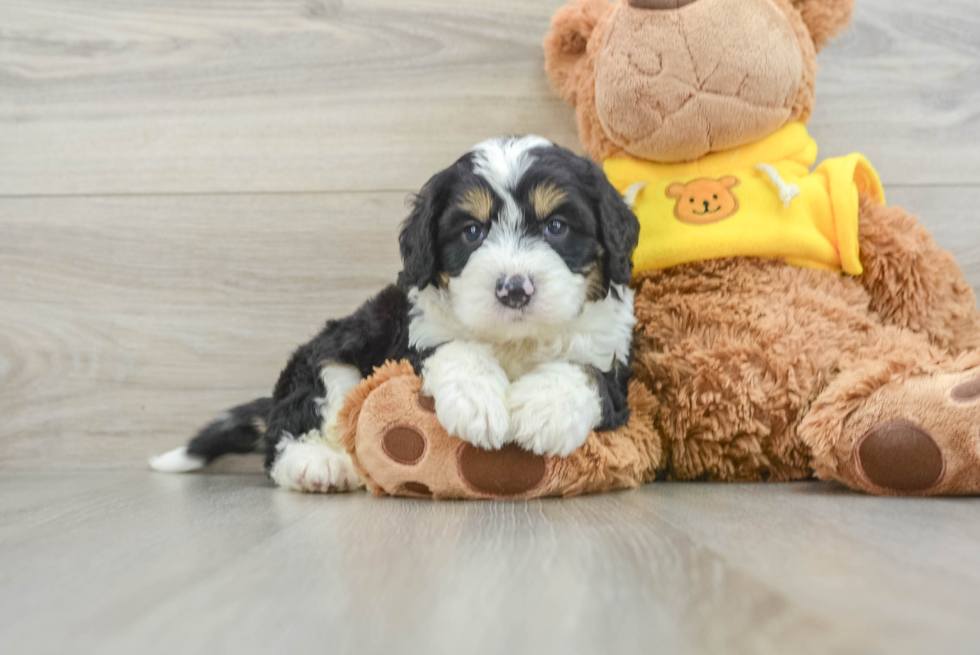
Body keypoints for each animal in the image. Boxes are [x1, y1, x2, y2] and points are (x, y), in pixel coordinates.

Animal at [149, 140, 640, 498]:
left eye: (557, 227)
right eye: (472, 232)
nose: (514, 289)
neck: (514, 341)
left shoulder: (613, 357)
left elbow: (584, 371)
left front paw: (542, 410)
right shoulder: (411, 339)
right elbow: (455, 349)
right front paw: (479, 403)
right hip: (330, 358)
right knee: (292, 432)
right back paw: (317, 465)